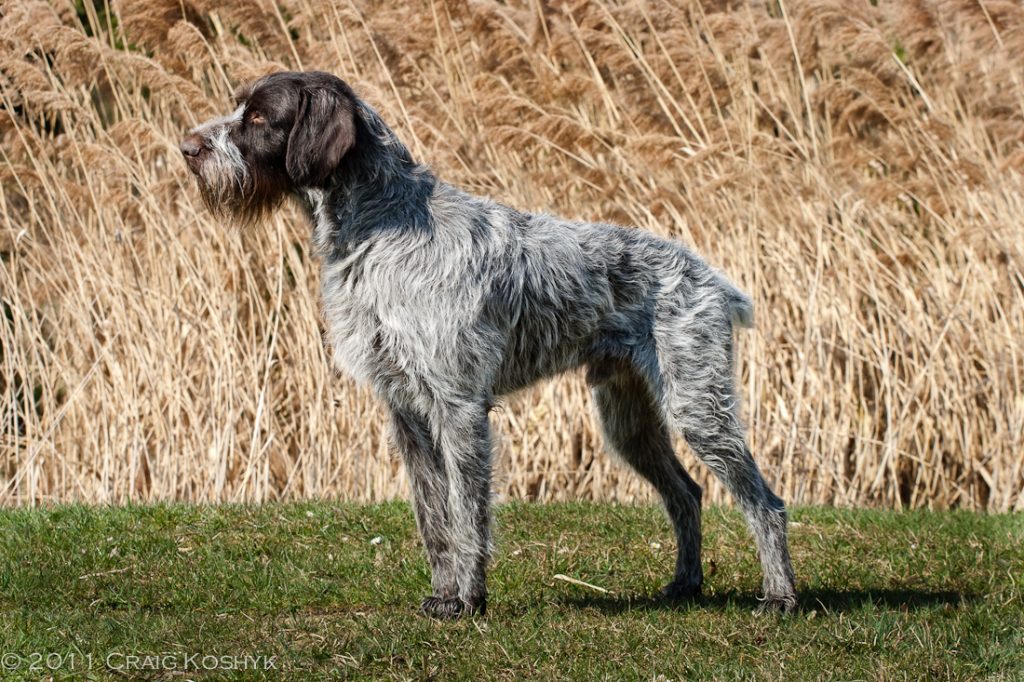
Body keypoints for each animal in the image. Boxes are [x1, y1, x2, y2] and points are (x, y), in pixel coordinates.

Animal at [180, 69, 794, 614]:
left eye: (260, 117)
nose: (187, 147)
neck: (380, 227)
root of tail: (710, 277)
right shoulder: (406, 410)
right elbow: (434, 518)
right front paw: (443, 594)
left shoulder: (458, 405)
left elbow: (467, 512)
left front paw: (468, 601)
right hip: (629, 422)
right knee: (686, 494)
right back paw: (685, 585)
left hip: (698, 407)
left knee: (765, 502)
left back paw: (780, 597)